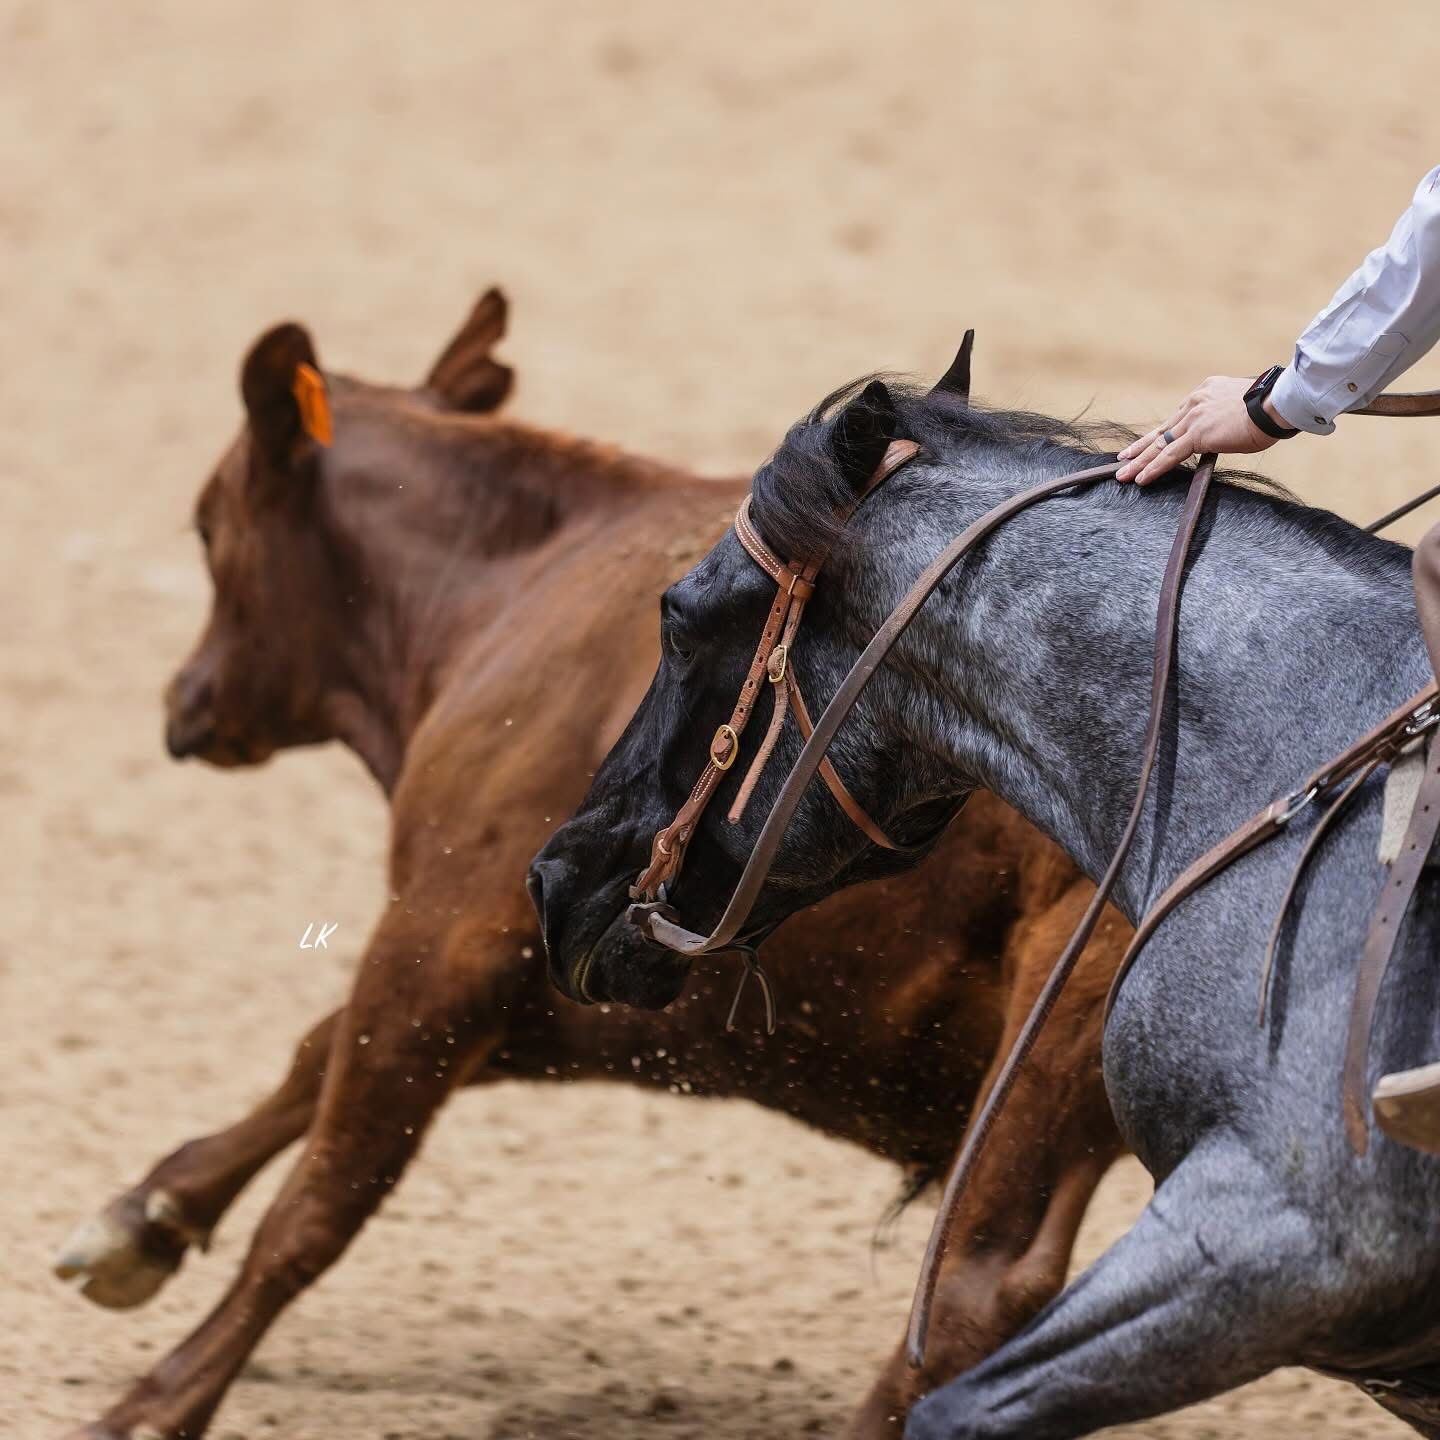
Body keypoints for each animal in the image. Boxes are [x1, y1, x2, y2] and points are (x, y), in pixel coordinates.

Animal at [55, 299, 1128, 1440]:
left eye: (207, 528)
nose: (183, 701)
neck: (514, 588)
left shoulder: (443, 941)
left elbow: (318, 1203)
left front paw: (159, 1399)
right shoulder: (560, 980)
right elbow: (315, 1058)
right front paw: (142, 1220)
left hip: (1057, 1025)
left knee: (979, 1284)